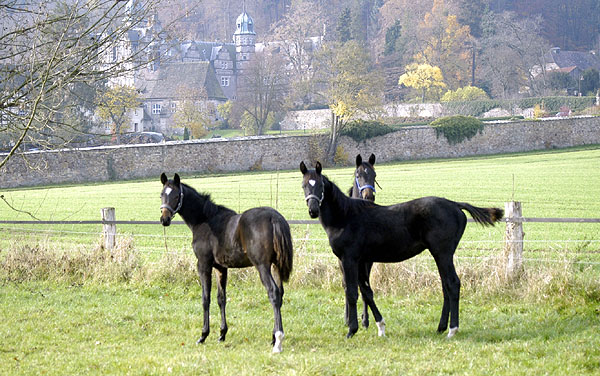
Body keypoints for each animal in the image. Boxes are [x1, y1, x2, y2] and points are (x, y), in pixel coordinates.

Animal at [158, 173, 292, 352]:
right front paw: (222, 334)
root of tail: (274, 218)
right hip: (276, 265)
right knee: (280, 293)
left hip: (263, 266)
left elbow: (205, 298)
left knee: (273, 292)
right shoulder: (221, 268)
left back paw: (278, 340)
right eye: (162, 194)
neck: (205, 220)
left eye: (176, 195)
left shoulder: (203, 264)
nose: (164, 219)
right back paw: (273, 337)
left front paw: (203, 335)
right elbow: (221, 298)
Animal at [298, 163, 502, 340]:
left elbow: (353, 293)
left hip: (443, 253)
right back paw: (441, 327)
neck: (345, 216)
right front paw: (380, 327)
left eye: (320, 185)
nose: (313, 210)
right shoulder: (360, 260)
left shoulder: (350, 259)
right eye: (304, 185)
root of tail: (455, 204)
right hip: (440, 255)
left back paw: (452, 330)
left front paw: (352, 330)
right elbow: (367, 292)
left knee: (453, 284)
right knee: (445, 285)